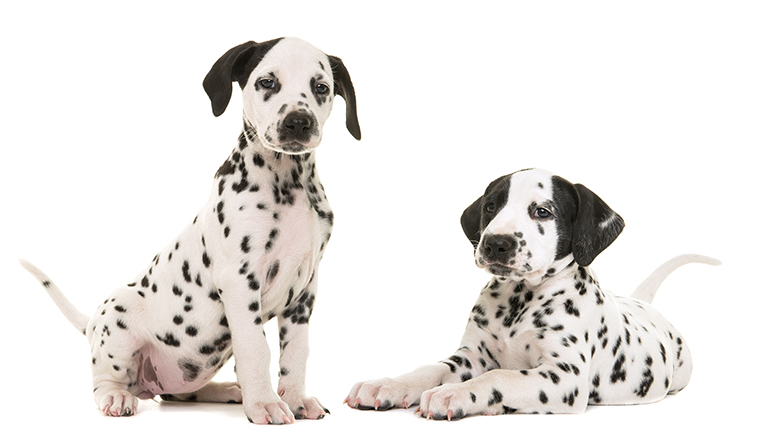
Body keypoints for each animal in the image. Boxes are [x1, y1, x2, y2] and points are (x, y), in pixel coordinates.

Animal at [19, 36, 360, 424]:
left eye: (321, 87)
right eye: (267, 82)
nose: (298, 122)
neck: (288, 185)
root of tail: (91, 322)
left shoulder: (304, 290)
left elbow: (296, 352)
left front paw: (296, 398)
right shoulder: (240, 283)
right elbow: (256, 349)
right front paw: (264, 403)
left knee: (179, 394)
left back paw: (227, 390)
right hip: (118, 322)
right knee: (104, 382)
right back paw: (117, 397)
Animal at [348, 168, 720, 420]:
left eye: (543, 211)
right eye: (491, 207)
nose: (496, 243)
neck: (520, 299)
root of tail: (643, 303)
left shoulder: (564, 377)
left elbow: (499, 376)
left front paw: (454, 393)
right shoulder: (471, 355)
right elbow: (429, 369)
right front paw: (388, 384)